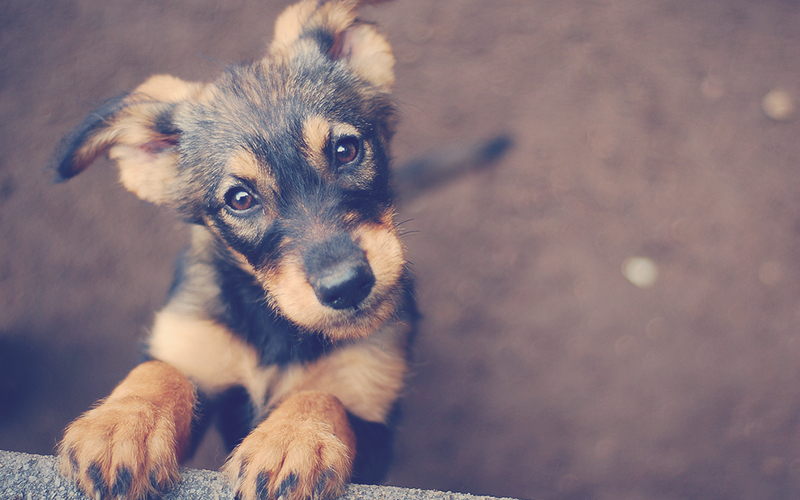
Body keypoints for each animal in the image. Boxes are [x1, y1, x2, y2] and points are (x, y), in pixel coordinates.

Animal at [50, 0, 416, 500]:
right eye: (240, 199)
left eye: (346, 150)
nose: (347, 286)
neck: (276, 327)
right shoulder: (195, 346)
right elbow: (161, 371)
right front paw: (121, 424)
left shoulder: (372, 417)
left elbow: (322, 395)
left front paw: (291, 440)